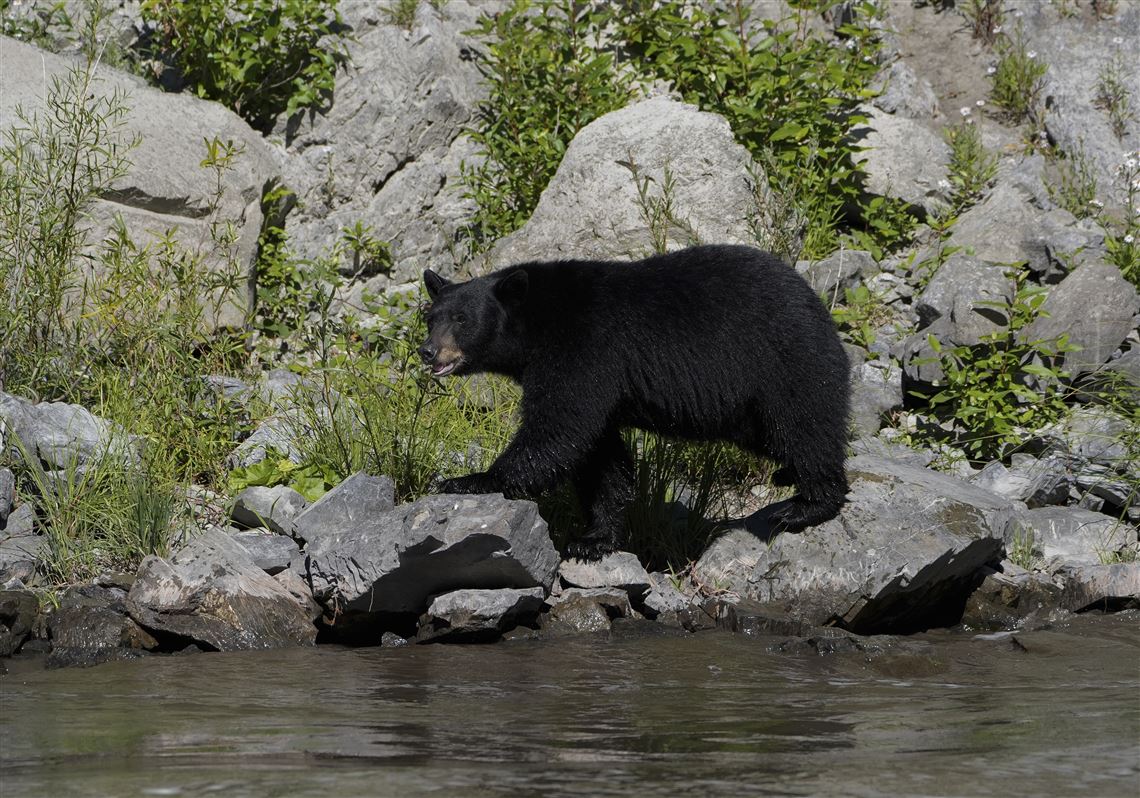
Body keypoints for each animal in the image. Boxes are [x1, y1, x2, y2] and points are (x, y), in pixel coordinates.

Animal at [420, 244, 850, 560]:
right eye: (431, 316)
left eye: (461, 319)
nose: (427, 351)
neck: (537, 323)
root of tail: (817, 303)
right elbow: (600, 457)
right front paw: (594, 539)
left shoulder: (583, 349)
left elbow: (558, 429)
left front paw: (468, 480)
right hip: (748, 410)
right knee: (779, 435)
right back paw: (787, 475)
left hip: (782, 361)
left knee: (804, 425)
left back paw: (806, 505)